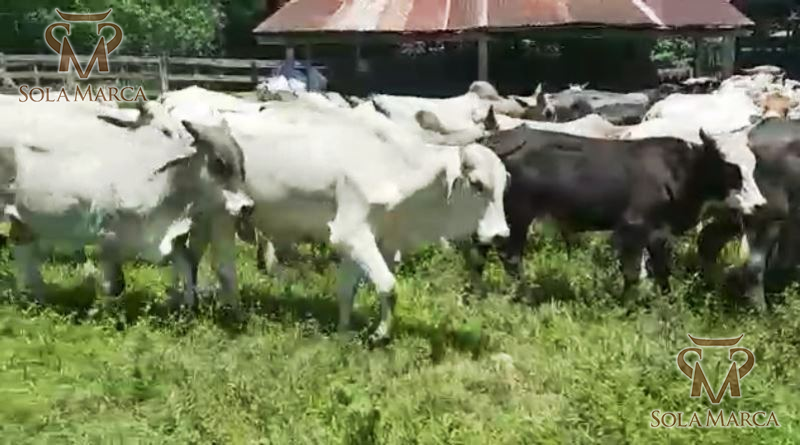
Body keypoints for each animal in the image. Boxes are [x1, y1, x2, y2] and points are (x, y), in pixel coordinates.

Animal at [0, 106, 253, 307]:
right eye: (218, 163)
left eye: (241, 163)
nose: (248, 207)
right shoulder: (108, 235)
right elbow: (114, 285)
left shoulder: (169, 237)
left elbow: (187, 266)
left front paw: (188, 308)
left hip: (23, 222)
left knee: (23, 251)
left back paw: (37, 296)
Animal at [191, 102, 509, 343]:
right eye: (477, 184)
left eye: (505, 184)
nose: (501, 235)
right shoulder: (350, 232)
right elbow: (389, 286)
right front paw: (380, 334)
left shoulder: (365, 240)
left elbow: (348, 291)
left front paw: (344, 332)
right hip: (224, 216)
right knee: (225, 269)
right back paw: (237, 316)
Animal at [478, 126, 752, 296]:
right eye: (733, 171)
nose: (757, 204)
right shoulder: (634, 225)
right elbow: (634, 271)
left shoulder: (656, 232)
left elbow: (658, 269)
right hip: (517, 214)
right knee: (510, 257)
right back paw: (525, 294)